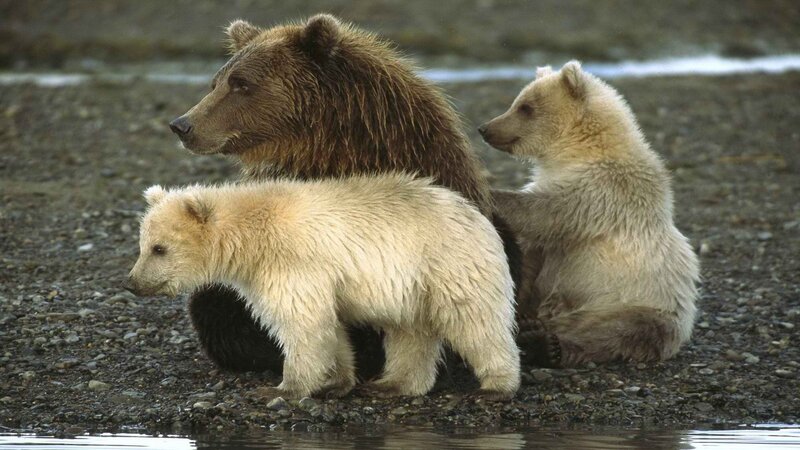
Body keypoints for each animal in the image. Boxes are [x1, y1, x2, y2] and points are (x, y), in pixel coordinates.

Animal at [124, 174, 521, 400]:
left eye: (159, 248)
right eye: (142, 245)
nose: (132, 283)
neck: (251, 240)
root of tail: (477, 215)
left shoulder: (292, 262)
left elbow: (302, 322)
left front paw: (281, 388)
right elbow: (330, 327)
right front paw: (335, 381)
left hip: (447, 264)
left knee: (476, 322)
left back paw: (496, 388)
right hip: (411, 287)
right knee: (411, 332)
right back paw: (392, 385)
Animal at [479, 61, 700, 366]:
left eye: (526, 107)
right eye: (518, 102)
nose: (485, 128)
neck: (576, 151)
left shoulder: (602, 191)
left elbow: (545, 213)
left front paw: (492, 192)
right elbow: (532, 255)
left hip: (640, 301)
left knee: (620, 331)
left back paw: (544, 344)